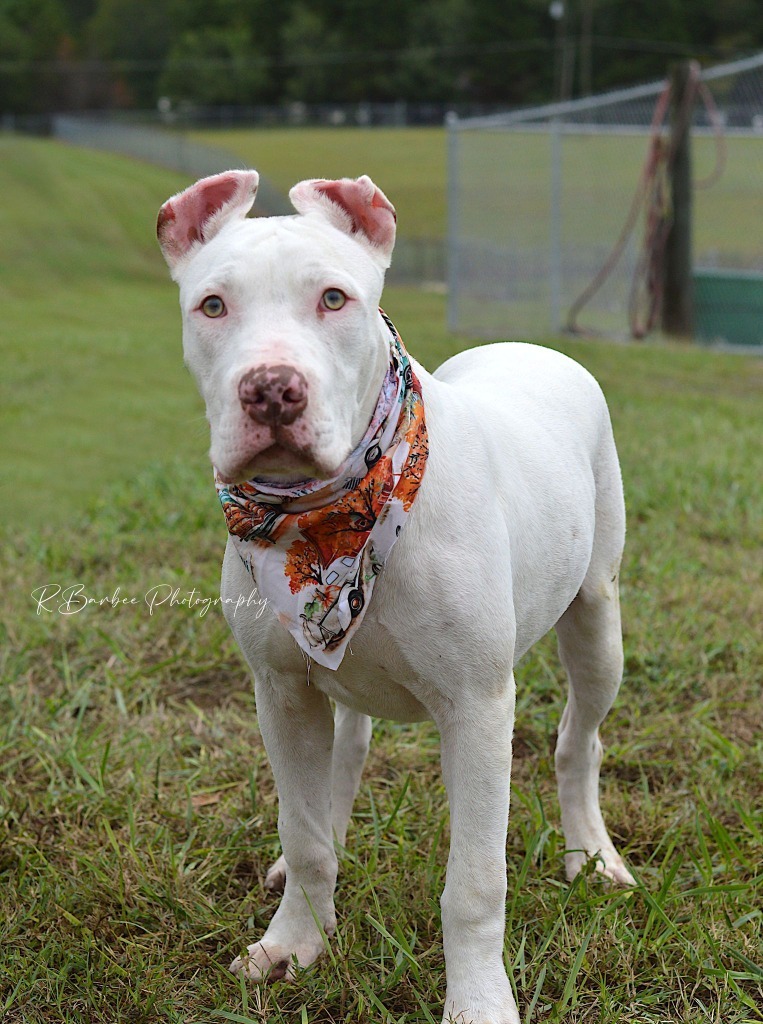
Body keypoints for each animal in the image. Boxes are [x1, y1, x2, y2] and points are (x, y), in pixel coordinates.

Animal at [156, 172, 634, 1024]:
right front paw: (294, 942)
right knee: (345, 755)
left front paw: (477, 1001)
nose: (270, 391)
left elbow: (473, 886)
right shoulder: (281, 691)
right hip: (332, 666)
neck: (328, 517)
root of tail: (527, 346)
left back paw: (591, 854)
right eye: (211, 305)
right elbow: (306, 829)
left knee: (579, 739)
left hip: (595, 618)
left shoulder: (477, 707)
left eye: (333, 298)